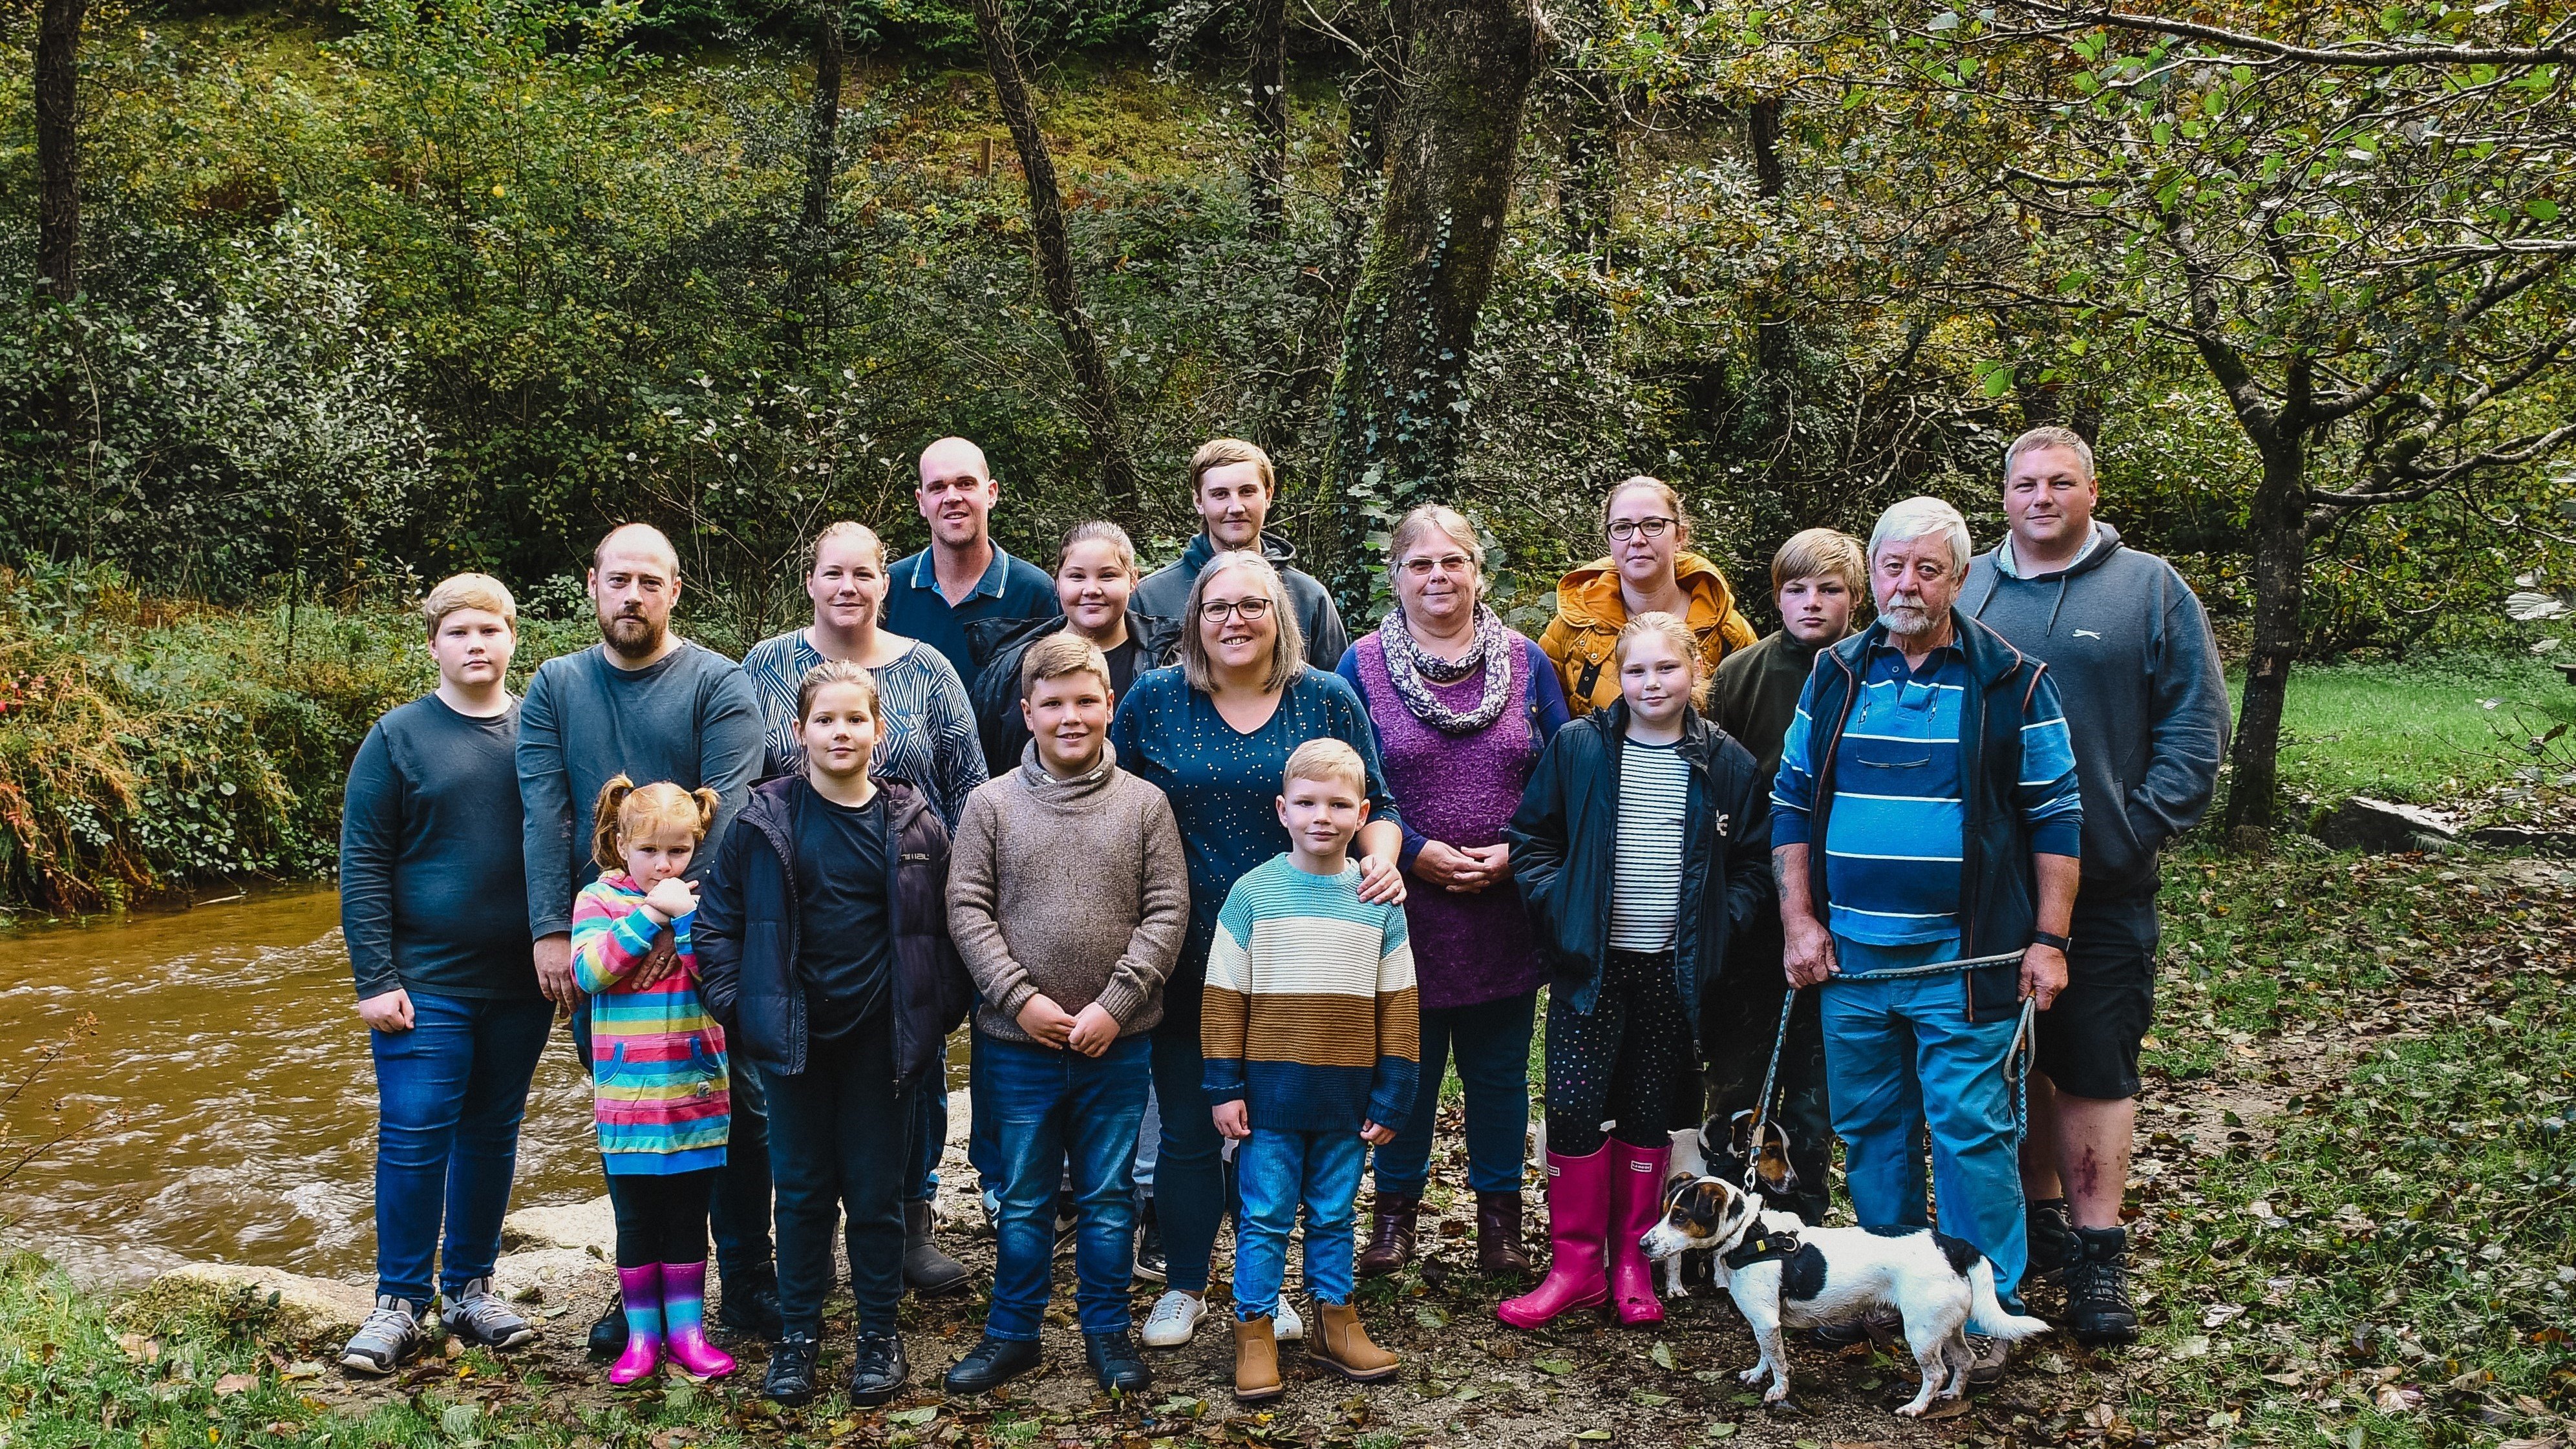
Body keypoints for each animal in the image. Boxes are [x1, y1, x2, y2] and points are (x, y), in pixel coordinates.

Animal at [1648, 1178, 2050, 1421]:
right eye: (1665, 1210)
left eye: (1680, 1216)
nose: (1642, 1244)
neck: (1749, 1234)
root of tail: (1955, 1245)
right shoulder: (1765, 1321)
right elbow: (1766, 1353)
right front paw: (1758, 1375)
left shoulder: (1765, 1320)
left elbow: (1779, 1362)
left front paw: (1778, 1391)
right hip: (1946, 1325)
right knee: (1965, 1361)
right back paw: (1953, 1395)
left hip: (1921, 1332)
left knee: (1935, 1373)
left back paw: (1916, 1407)